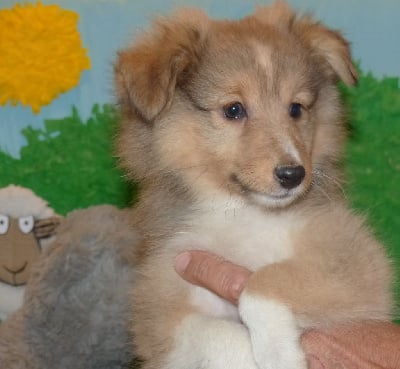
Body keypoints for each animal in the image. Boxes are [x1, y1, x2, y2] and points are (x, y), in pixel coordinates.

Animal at [114, 1, 392, 366]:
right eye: (234, 109)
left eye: (296, 109)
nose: (293, 175)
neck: (241, 211)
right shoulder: (159, 303)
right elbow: (208, 330)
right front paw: (251, 355)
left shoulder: (354, 260)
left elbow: (262, 282)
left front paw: (278, 353)